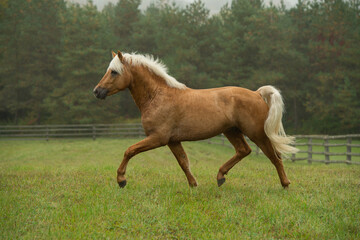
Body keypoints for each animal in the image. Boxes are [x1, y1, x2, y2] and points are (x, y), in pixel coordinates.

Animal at [93, 51, 298, 189]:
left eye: (114, 72)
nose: (97, 91)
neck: (158, 96)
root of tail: (256, 94)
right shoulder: (173, 141)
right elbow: (184, 162)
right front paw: (193, 185)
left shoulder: (158, 138)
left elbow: (129, 151)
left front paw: (121, 180)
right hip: (231, 131)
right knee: (244, 150)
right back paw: (220, 176)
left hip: (257, 133)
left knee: (275, 157)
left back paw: (285, 184)